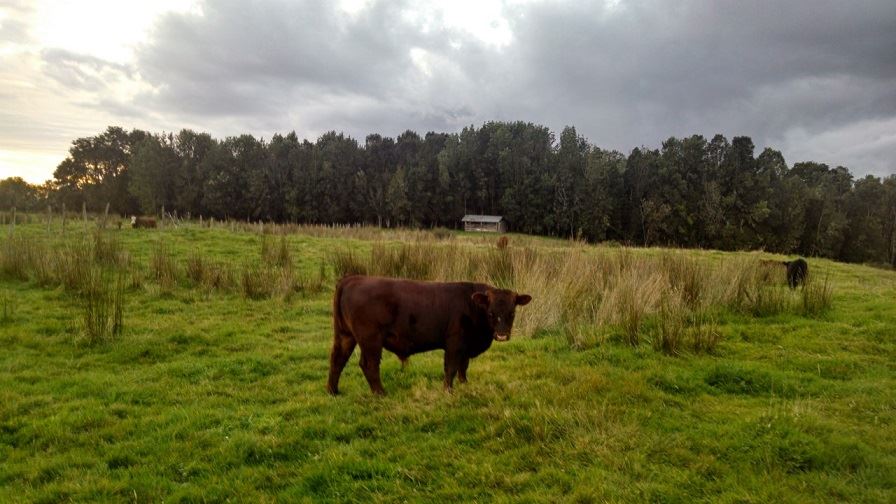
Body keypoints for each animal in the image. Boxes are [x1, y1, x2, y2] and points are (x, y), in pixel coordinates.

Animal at [328, 274, 532, 396]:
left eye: (512, 312)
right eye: (490, 313)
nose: (502, 335)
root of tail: (353, 279)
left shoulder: (466, 346)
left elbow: (463, 367)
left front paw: (464, 384)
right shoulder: (454, 342)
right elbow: (451, 367)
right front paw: (448, 390)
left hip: (345, 336)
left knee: (337, 360)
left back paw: (333, 391)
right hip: (371, 340)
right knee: (368, 365)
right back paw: (380, 393)